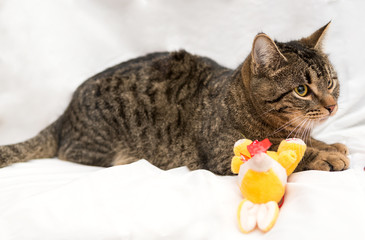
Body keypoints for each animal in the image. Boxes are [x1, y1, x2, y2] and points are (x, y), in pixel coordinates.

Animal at [0, 23, 346, 174]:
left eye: (331, 81)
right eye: (302, 90)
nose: (332, 106)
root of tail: (64, 114)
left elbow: (305, 142)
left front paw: (331, 145)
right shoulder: (226, 153)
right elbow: (283, 152)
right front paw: (325, 156)